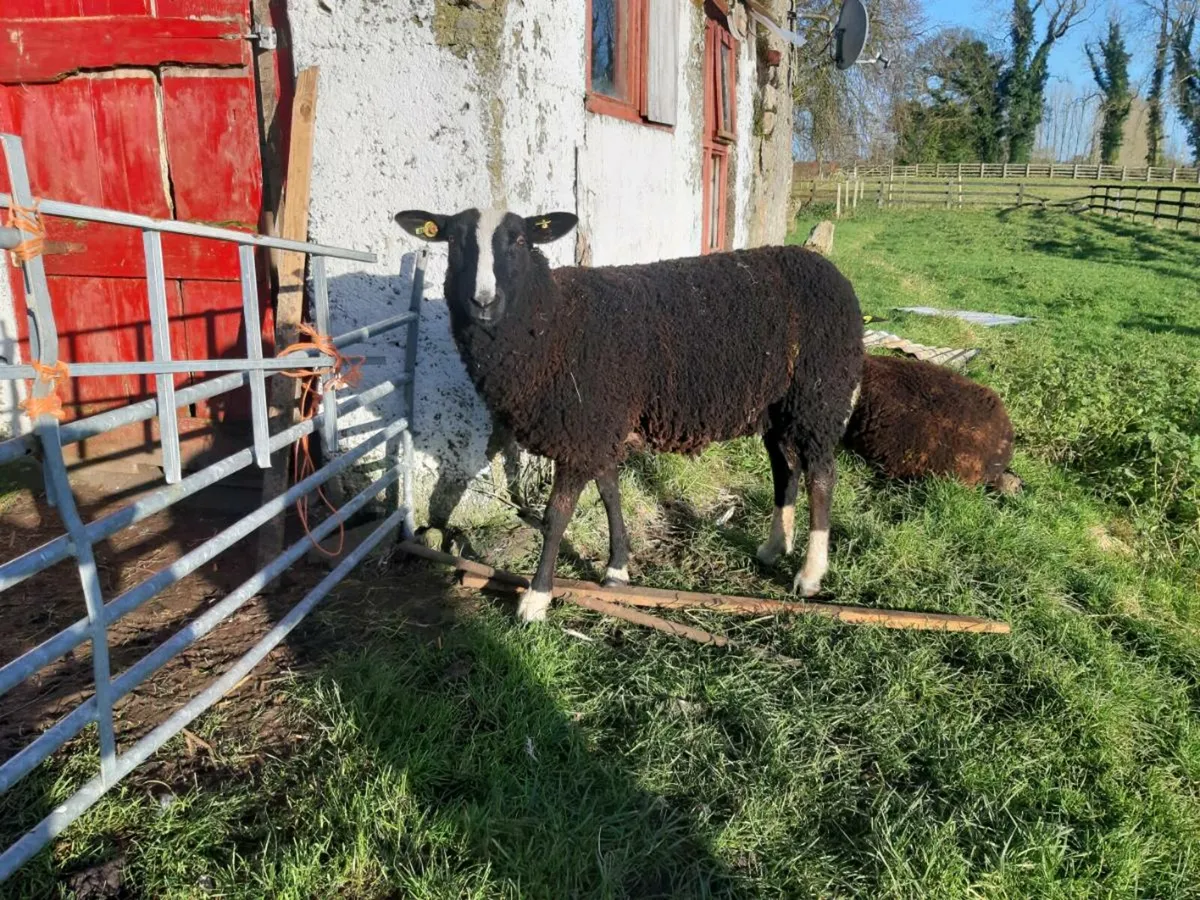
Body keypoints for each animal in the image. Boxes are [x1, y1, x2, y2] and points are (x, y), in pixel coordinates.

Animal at [396, 207, 864, 622]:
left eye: (520, 240)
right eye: (453, 241)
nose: (483, 302)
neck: (552, 322)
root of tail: (830, 270)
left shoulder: (584, 425)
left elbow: (556, 517)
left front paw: (536, 599)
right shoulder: (599, 425)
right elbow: (610, 492)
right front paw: (617, 569)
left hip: (820, 394)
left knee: (822, 476)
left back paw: (809, 575)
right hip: (780, 407)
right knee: (786, 468)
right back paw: (774, 548)